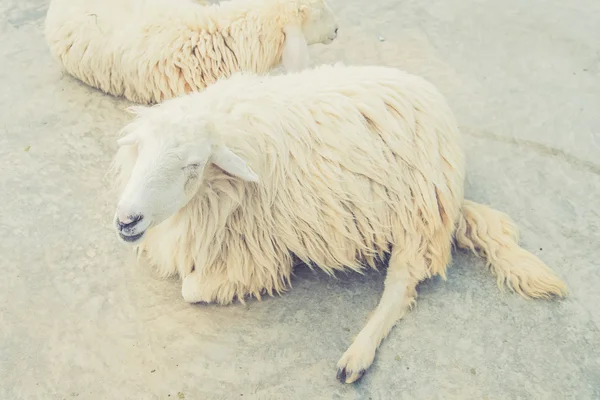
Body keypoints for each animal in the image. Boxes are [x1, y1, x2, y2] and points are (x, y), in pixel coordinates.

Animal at [111, 63, 568, 384]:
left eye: (192, 165)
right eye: (142, 149)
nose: (127, 220)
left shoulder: (257, 255)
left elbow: (191, 289)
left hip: (416, 214)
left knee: (401, 287)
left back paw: (356, 358)